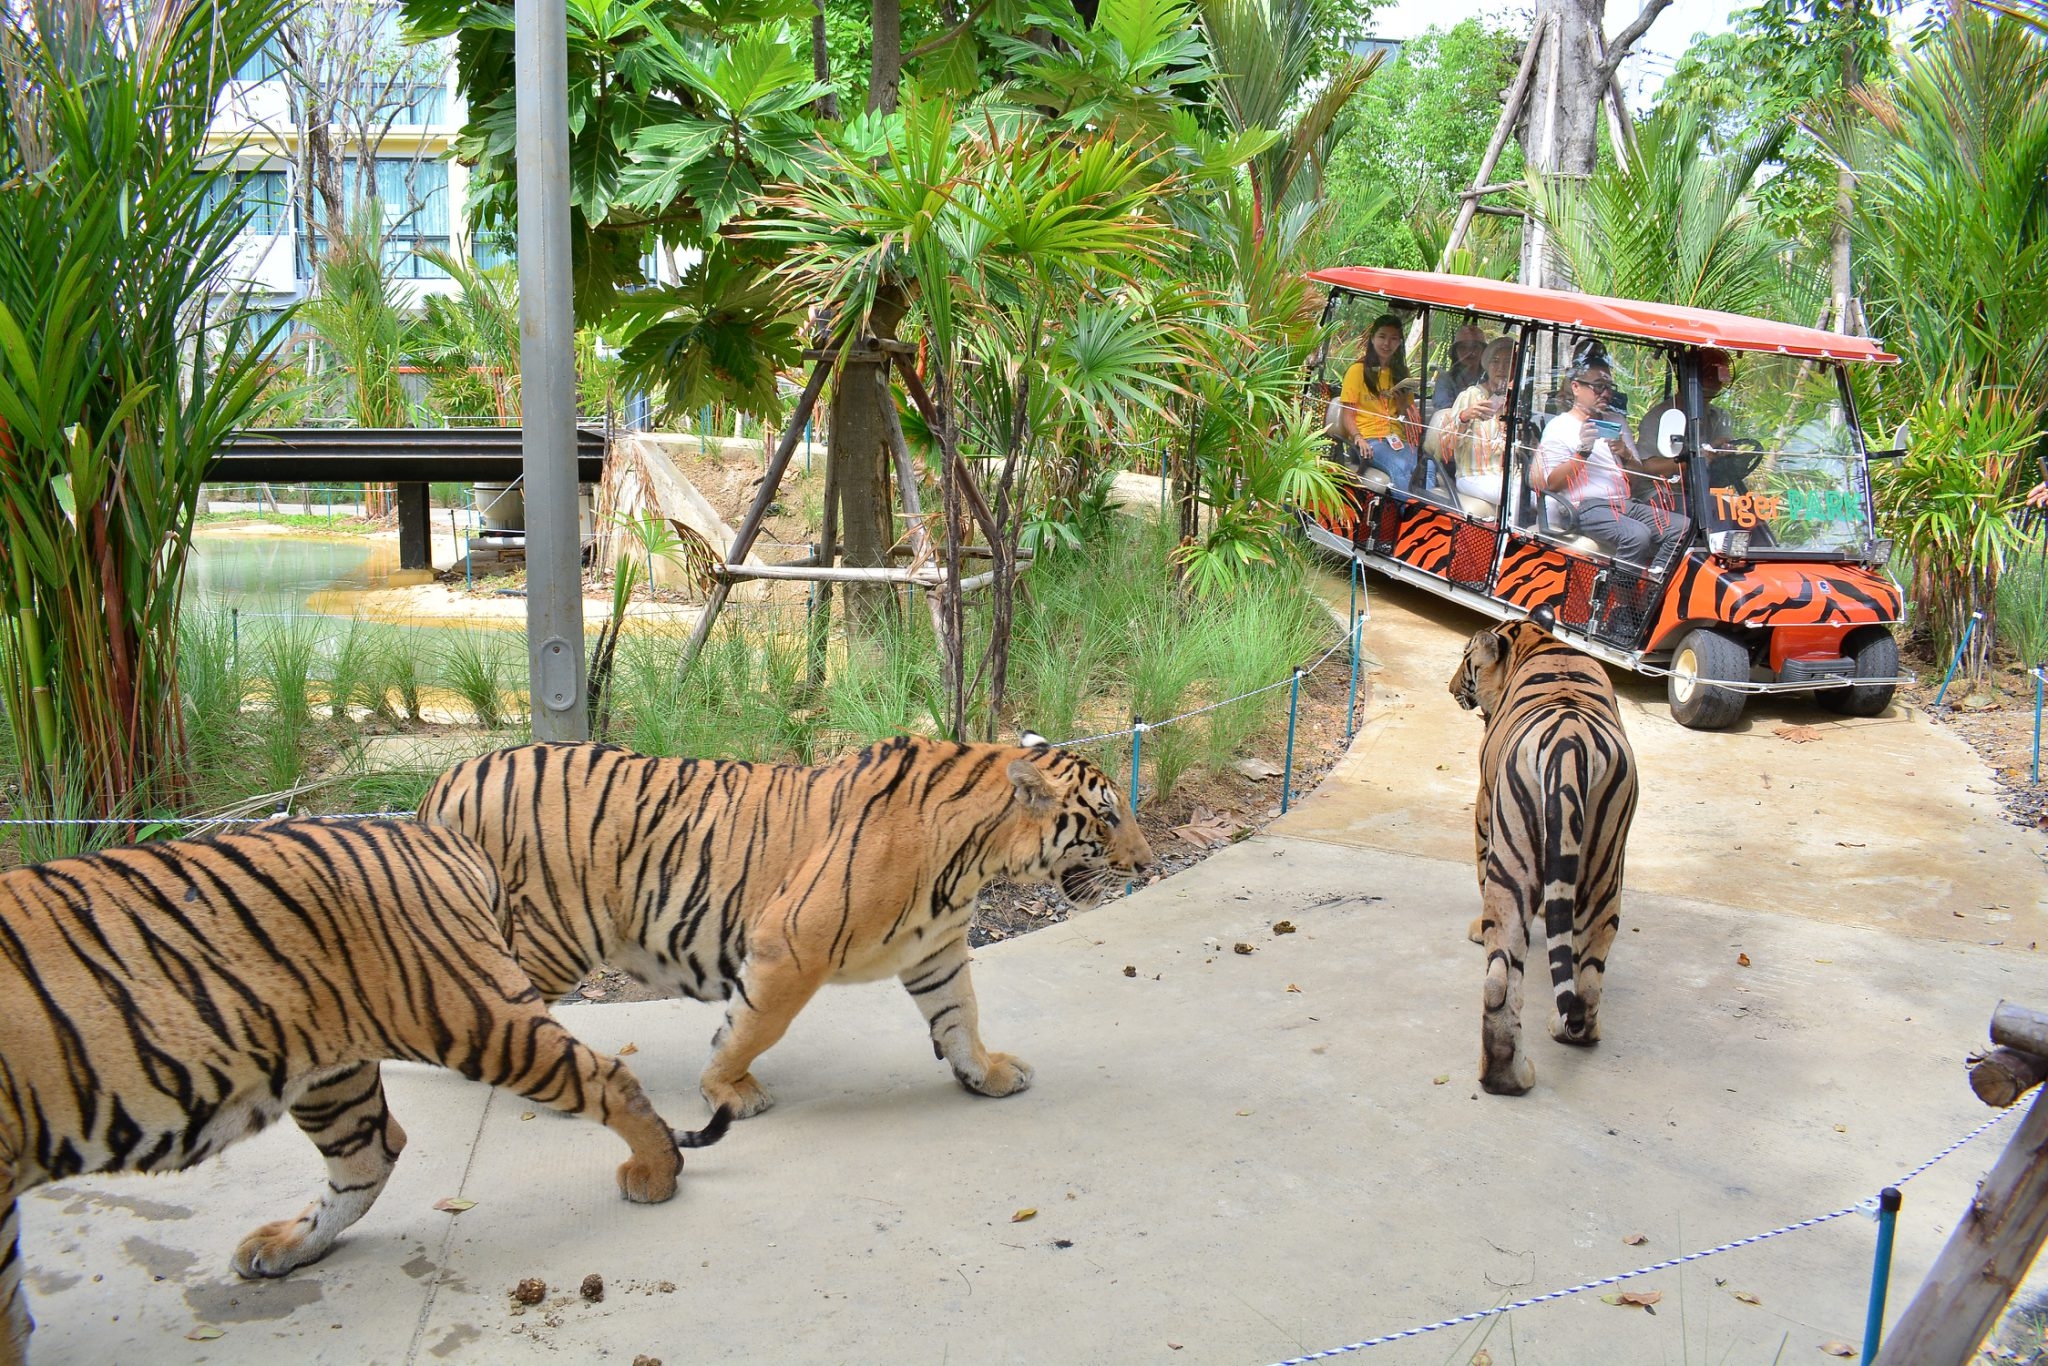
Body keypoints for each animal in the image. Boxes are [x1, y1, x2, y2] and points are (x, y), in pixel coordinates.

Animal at [0, 819, 730, 1365]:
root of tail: (430, 830)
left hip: (470, 1016)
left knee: (607, 1076)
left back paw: (656, 1171)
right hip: (331, 1070)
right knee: (371, 1153)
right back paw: (286, 1247)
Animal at [418, 733, 1155, 1120]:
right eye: (1108, 816)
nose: (1149, 864)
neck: (976, 856)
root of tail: (451, 775)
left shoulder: (938, 951)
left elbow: (960, 1017)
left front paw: (987, 1074)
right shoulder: (791, 947)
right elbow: (753, 1026)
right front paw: (726, 1090)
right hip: (552, 932)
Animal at [1448, 615, 1639, 1096]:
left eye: (1466, 659)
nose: (1450, 687)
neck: (1538, 640)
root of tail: (1570, 743)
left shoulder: (1483, 805)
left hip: (1512, 864)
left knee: (1499, 975)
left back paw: (1507, 1077)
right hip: (1605, 870)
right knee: (1586, 978)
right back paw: (1570, 1035)